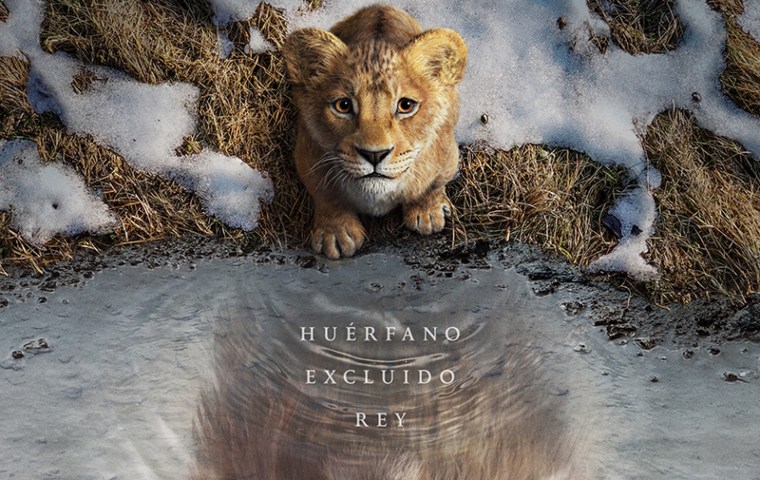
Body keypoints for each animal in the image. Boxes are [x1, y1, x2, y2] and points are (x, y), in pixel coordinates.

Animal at [283, 4, 467, 259]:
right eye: (343, 105)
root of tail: (381, 6)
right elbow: (326, 195)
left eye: (406, 105)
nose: (374, 155)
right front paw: (336, 233)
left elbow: (432, 185)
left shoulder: (447, 155)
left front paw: (428, 212)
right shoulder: (307, 154)